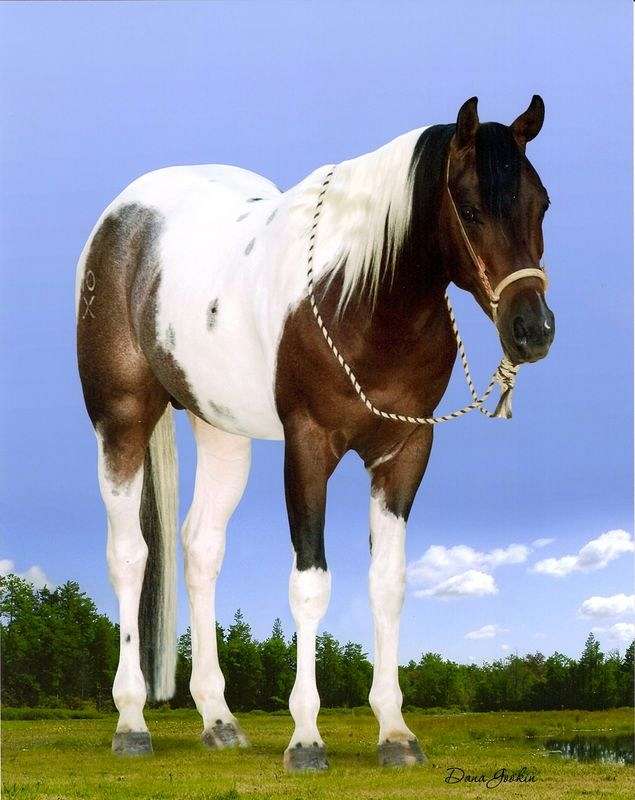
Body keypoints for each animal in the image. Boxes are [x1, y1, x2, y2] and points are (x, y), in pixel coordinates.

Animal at [76, 95, 554, 770]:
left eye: (542, 204)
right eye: (469, 208)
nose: (533, 331)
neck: (360, 296)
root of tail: (121, 221)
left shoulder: (404, 452)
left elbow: (387, 584)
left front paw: (395, 733)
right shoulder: (308, 445)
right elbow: (309, 583)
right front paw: (305, 738)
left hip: (221, 431)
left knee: (201, 548)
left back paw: (218, 720)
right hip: (119, 420)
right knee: (129, 555)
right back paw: (131, 722)